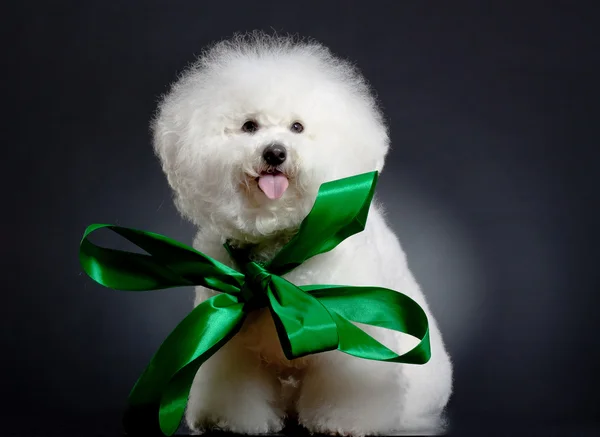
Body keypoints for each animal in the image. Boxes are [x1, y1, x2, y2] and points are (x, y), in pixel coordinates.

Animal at [152, 32, 452, 434]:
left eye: (297, 127)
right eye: (250, 126)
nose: (275, 153)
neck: (278, 246)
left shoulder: (349, 333)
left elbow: (348, 385)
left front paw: (343, 420)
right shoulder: (233, 344)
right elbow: (235, 386)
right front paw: (234, 421)